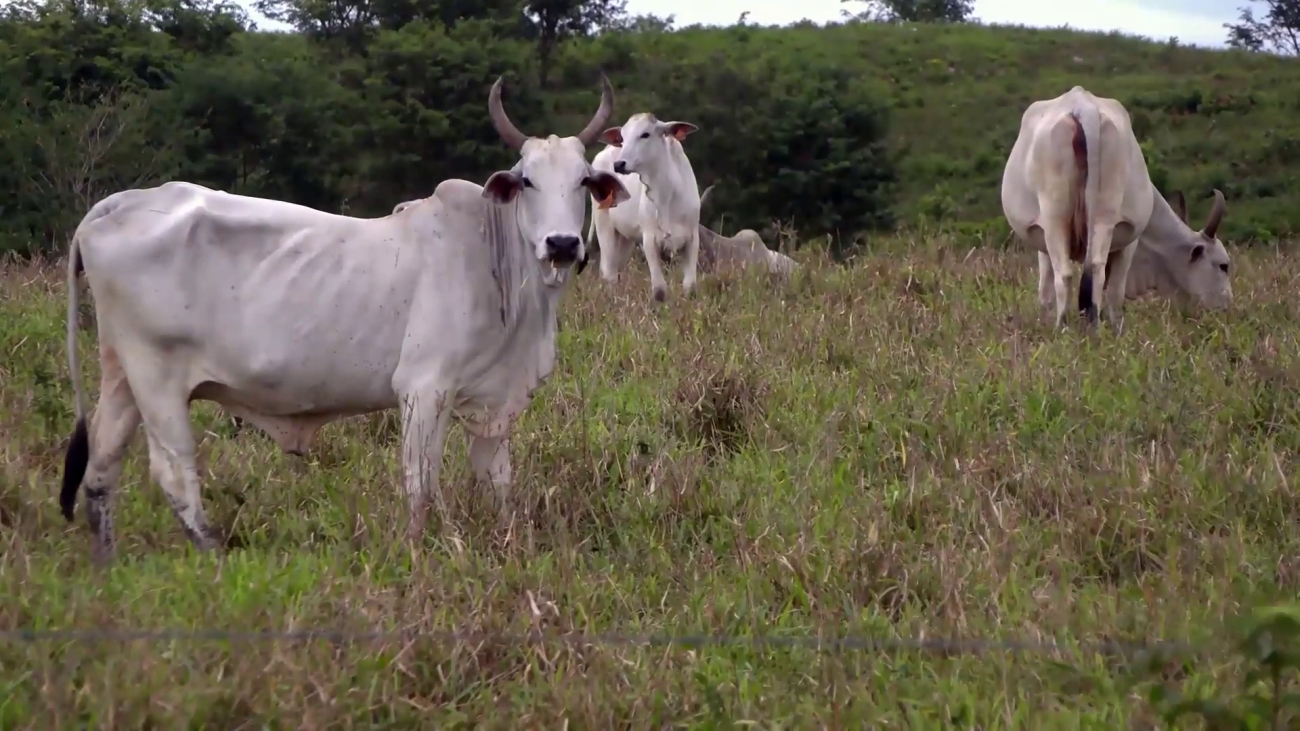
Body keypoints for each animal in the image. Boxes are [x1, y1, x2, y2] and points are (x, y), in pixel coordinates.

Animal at [57, 75, 630, 561]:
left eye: (584, 180)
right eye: (528, 181)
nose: (562, 244)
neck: (498, 265)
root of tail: (118, 204)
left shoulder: (492, 403)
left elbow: (499, 487)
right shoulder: (422, 389)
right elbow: (420, 487)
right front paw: (417, 556)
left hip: (122, 375)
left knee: (101, 466)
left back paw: (107, 564)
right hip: (157, 379)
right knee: (173, 471)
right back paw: (213, 557)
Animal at [588, 113, 703, 302]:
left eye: (645, 134)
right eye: (622, 137)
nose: (619, 164)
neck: (667, 195)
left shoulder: (692, 238)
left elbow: (690, 287)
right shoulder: (649, 239)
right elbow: (659, 290)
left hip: (624, 237)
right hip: (604, 227)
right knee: (609, 272)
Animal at [1001, 85, 1232, 330]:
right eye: (1223, 265)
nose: (1227, 307)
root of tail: (1084, 108)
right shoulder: (1129, 241)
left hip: (1060, 219)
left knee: (1074, 274)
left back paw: (1071, 328)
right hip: (1092, 219)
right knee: (1087, 272)